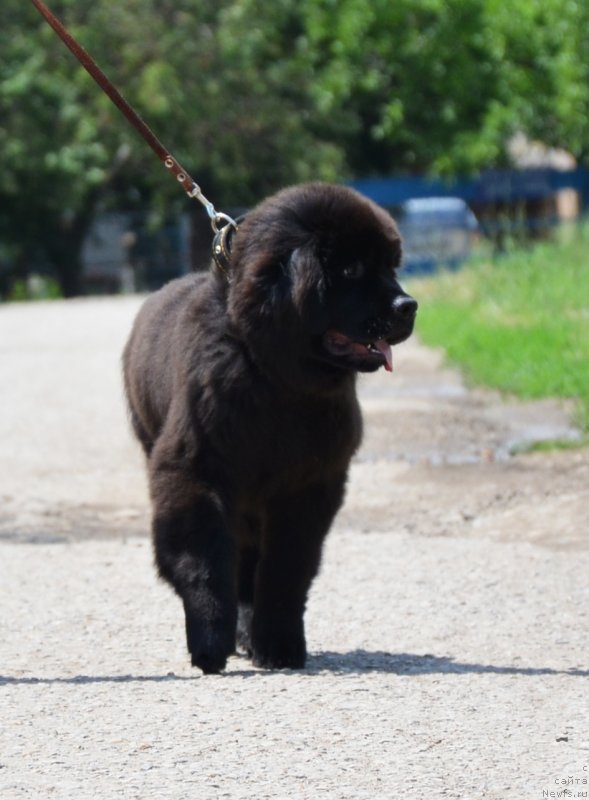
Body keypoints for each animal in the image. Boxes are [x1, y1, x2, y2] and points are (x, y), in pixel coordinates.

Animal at [123, 184, 418, 672]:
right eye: (351, 269)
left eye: (391, 268)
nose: (408, 306)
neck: (277, 383)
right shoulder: (196, 473)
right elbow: (203, 561)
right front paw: (210, 643)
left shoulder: (308, 488)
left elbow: (286, 570)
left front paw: (278, 646)